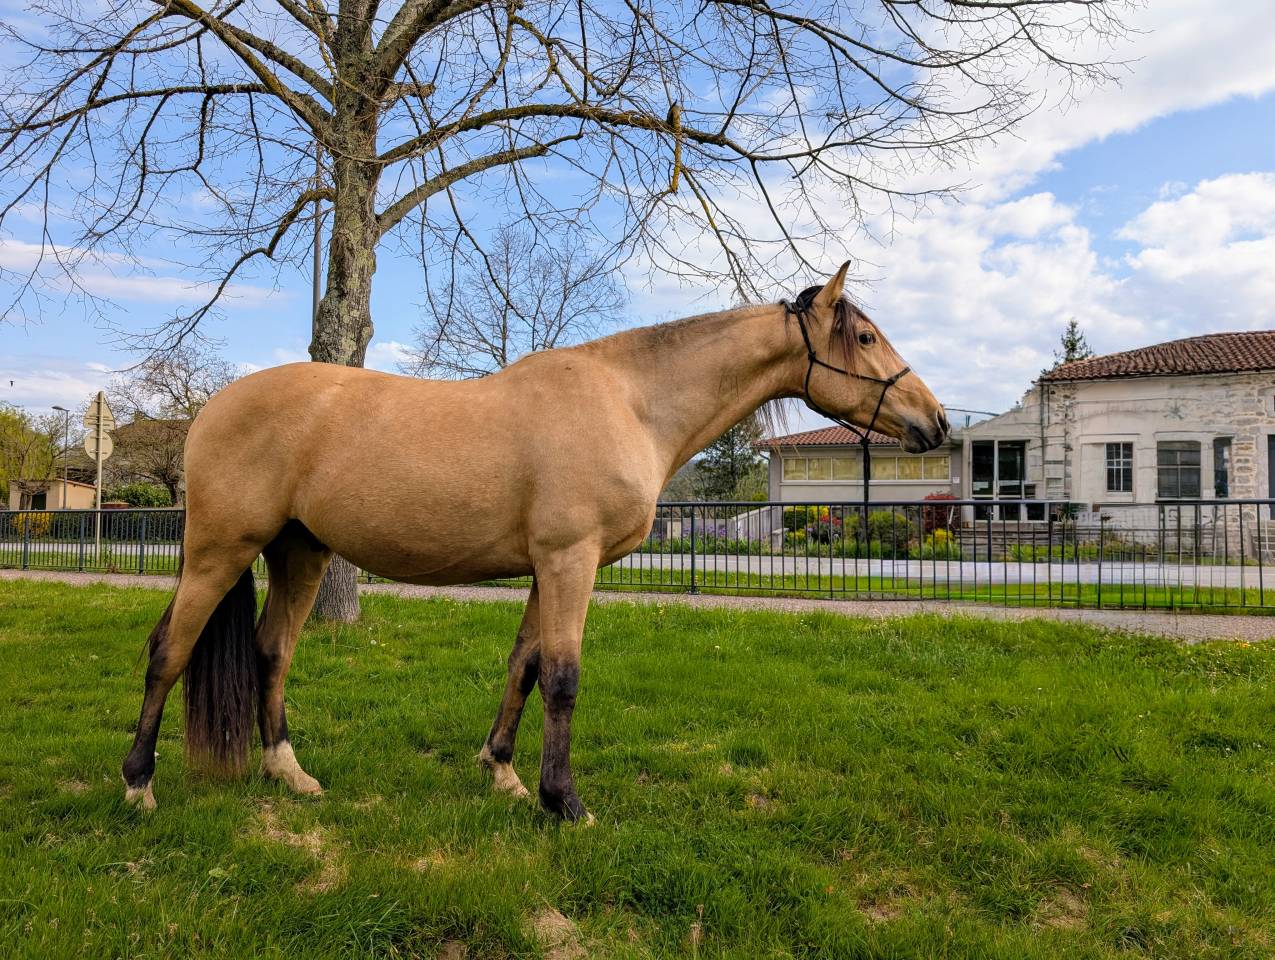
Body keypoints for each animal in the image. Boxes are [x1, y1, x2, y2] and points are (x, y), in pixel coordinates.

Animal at [121, 263, 949, 821]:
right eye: (865, 335)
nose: (934, 422)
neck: (628, 401)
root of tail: (213, 407)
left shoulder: (543, 570)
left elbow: (522, 668)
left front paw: (502, 773)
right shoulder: (570, 561)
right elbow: (562, 678)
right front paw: (564, 801)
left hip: (299, 551)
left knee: (271, 651)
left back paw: (287, 773)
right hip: (220, 551)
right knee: (168, 651)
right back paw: (138, 784)